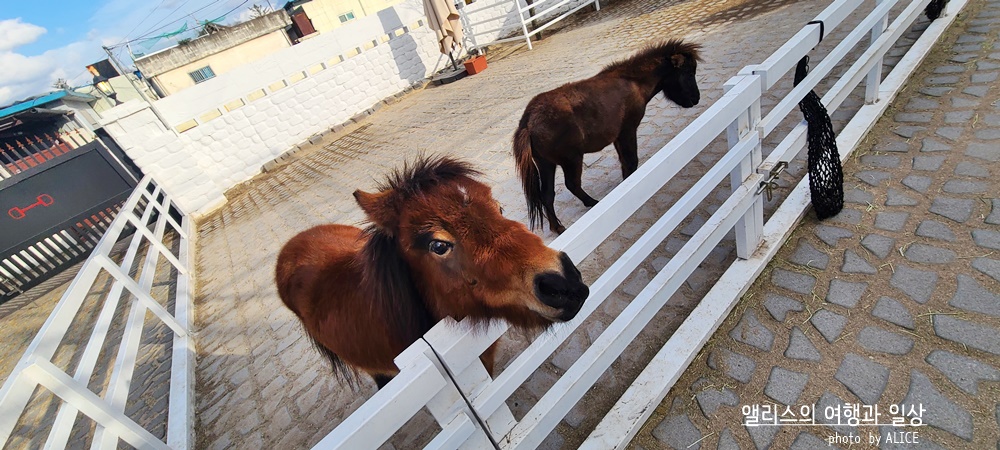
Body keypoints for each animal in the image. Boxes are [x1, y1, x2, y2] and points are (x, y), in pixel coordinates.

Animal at [513, 39, 703, 234]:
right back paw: (591, 203)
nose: (696, 99)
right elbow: (631, 162)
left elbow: (625, 163)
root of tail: (528, 121)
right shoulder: (627, 131)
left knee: (547, 195)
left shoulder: (618, 137)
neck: (632, 82)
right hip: (571, 160)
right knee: (572, 185)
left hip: (546, 164)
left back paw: (557, 226)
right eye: (689, 72)